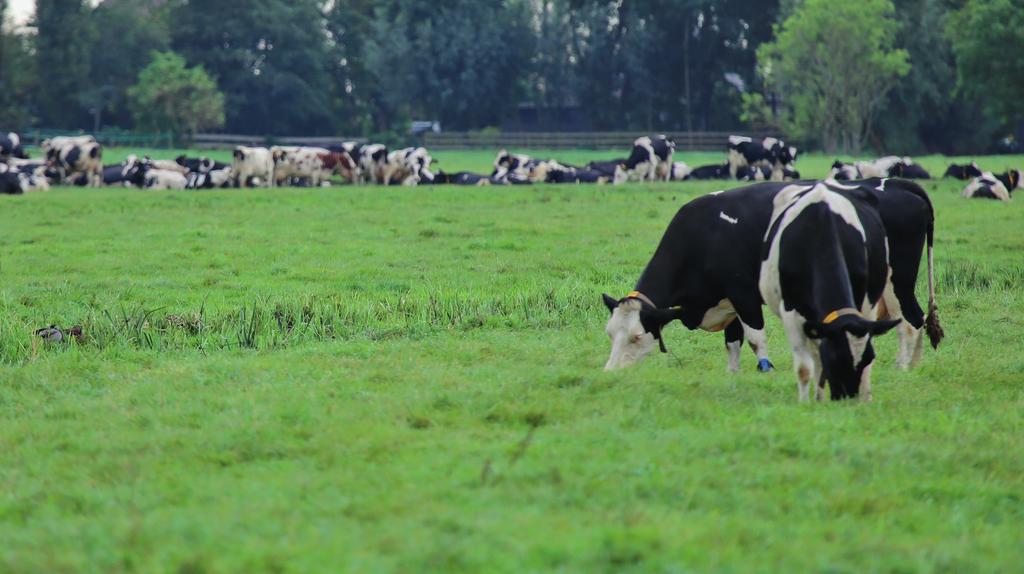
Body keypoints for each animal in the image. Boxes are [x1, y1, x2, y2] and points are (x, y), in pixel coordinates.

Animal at [761, 182, 897, 399]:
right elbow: (804, 368)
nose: (847, 398)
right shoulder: (791, 313)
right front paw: (806, 402)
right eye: (835, 358)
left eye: (869, 357)